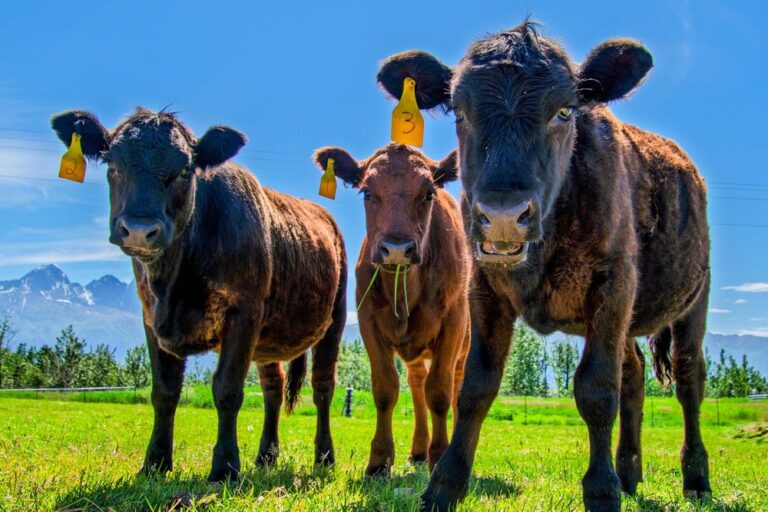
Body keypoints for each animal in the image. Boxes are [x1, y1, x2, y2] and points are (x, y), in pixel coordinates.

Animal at [51, 108, 347, 482]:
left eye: (184, 170)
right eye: (112, 165)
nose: (139, 229)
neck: (176, 281)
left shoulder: (244, 312)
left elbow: (227, 389)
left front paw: (225, 467)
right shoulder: (151, 317)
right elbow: (164, 390)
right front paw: (155, 463)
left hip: (334, 320)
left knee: (323, 387)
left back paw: (325, 457)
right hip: (269, 339)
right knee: (273, 388)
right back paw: (266, 456)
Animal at [313, 143, 470, 475]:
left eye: (428, 193)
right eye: (366, 192)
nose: (396, 248)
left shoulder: (453, 323)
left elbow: (440, 393)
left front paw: (440, 456)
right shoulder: (369, 322)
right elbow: (386, 389)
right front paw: (379, 460)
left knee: (454, 389)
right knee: (417, 386)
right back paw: (419, 450)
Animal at [377, 21, 711, 511]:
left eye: (565, 111)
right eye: (459, 111)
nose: (502, 215)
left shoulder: (612, 286)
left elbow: (595, 389)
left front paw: (601, 490)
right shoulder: (484, 289)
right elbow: (475, 387)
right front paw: (444, 484)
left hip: (692, 304)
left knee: (689, 381)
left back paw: (696, 479)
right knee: (633, 375)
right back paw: (630, 473)